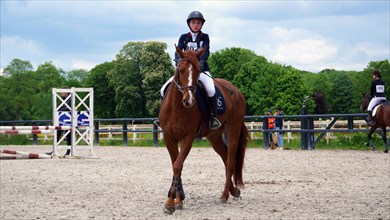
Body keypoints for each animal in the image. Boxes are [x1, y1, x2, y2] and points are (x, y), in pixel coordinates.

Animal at [158, 46, 250, 213]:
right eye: (180, 69)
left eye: (198, 71)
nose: (189, 100)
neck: (176, 106)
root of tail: (236, 91)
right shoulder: (169, 137)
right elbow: (175, 165)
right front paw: (177, 200)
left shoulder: (187, 138)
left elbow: (177, 165)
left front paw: (170, 202)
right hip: (215, 136)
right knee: (225, 156)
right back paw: (233, 190)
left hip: (233, 130)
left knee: (230, 160)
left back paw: (225, 195)